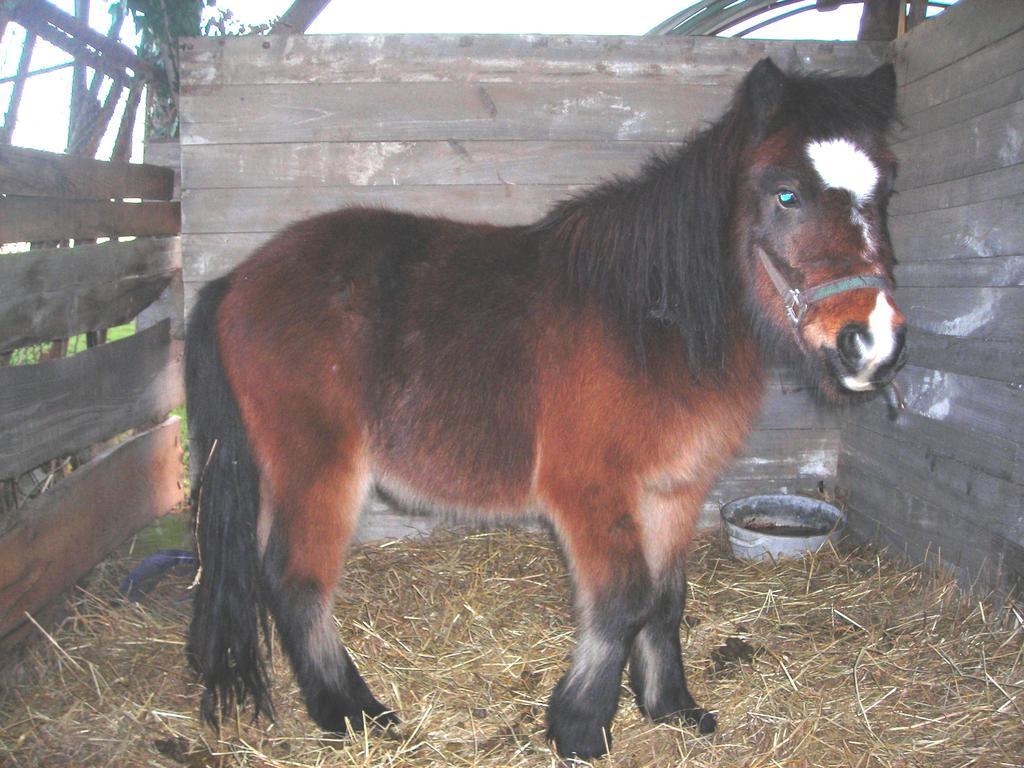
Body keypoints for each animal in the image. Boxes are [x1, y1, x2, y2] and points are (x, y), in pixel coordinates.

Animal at [184, 57, 905, 761]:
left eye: (888, 191)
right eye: (786, 194)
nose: (871, 342)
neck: (650, 323)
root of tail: (239, 280)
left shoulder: (675, 489)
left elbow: (665, 600)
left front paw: (670, 707)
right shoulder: (590, 491)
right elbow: (621, 601)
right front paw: (580, 726)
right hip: (321, 471)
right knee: (296, 582)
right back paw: (352, 712)